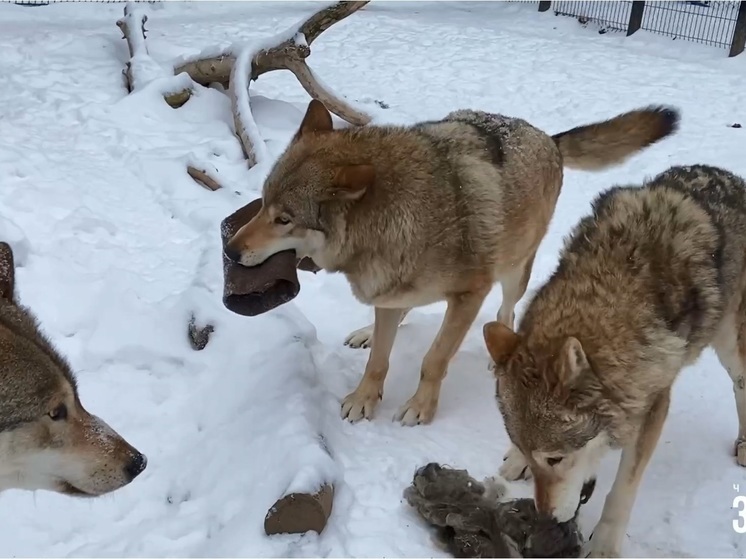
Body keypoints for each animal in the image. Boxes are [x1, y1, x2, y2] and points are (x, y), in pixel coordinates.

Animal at [227, 99, 680, 424]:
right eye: (263, 203)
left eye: (284, 219)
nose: (230, 249)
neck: (404, 217)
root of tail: (548, 138)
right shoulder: (388, 288)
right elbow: (379, 360)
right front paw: (364, 398)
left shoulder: (468, 297)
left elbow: (435, 359)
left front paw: (420, 408)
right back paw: (367, 332)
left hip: (514, 271)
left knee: (507, 310)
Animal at [480, 164, 744, 556]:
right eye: (533, 454)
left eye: (556, 459)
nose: (543, 518)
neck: (603, 292)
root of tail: (731, 177)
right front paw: (515, 459)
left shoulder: (652, 408)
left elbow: (622, 491)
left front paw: (604, 543)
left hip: (730, 346)